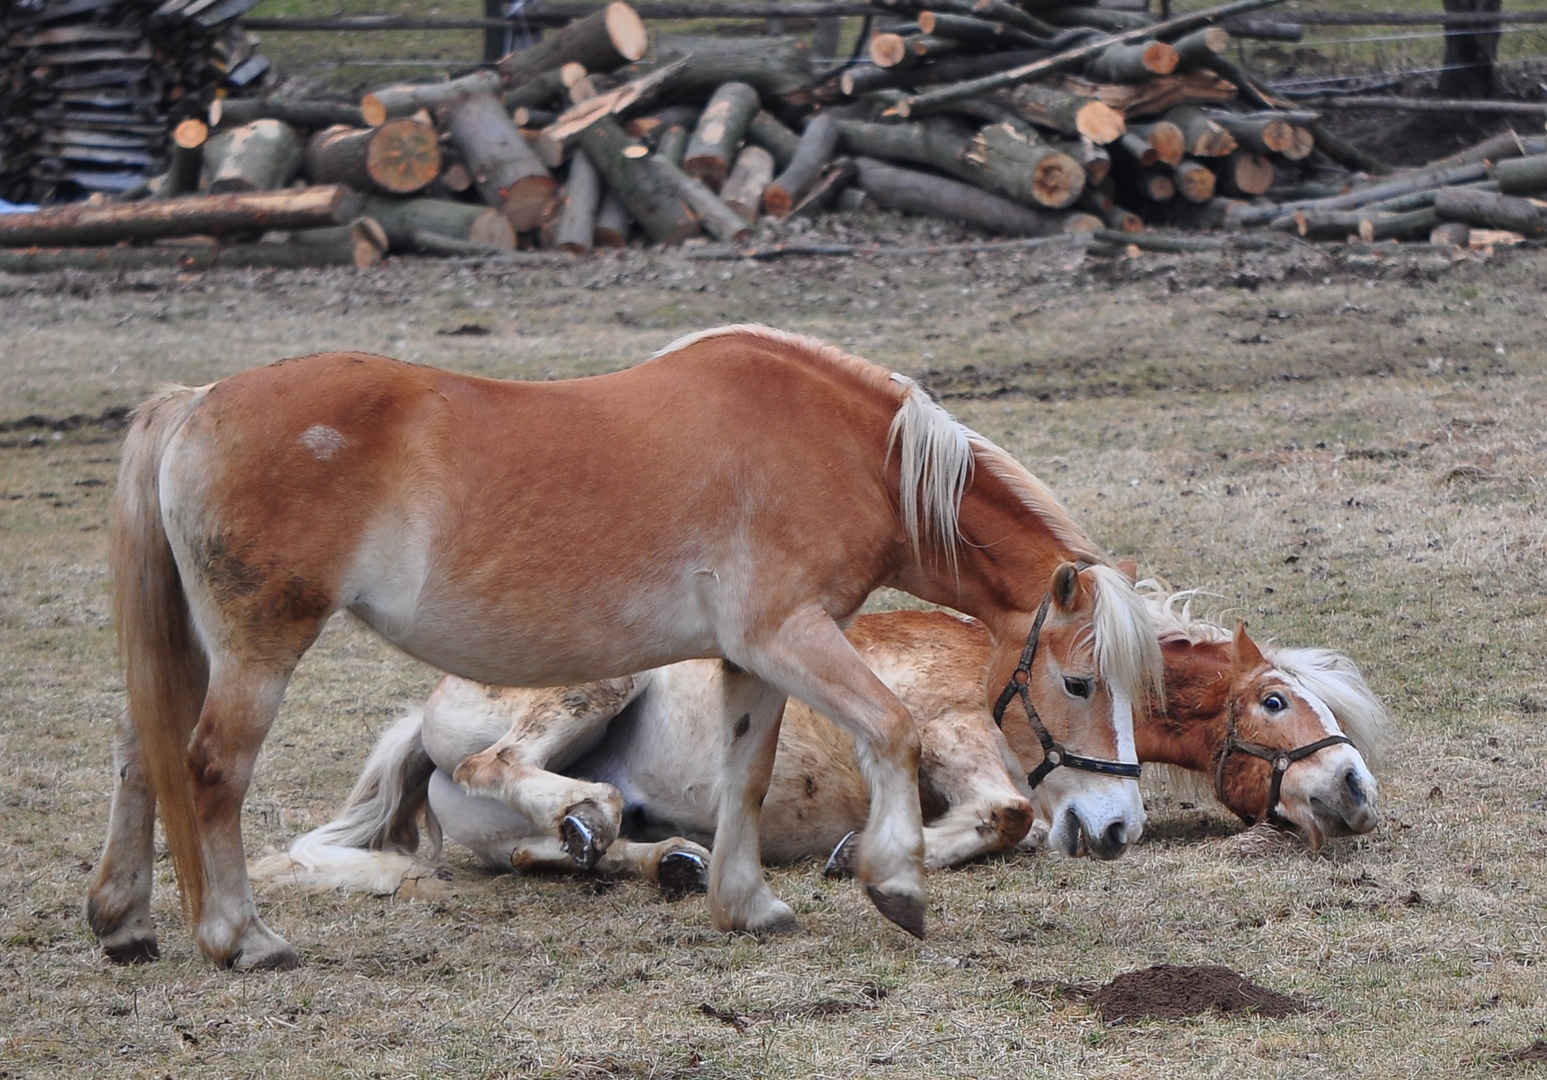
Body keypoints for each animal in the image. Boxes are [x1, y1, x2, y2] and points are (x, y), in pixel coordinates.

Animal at [90, 323, 1163, 965]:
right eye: (1077, 682)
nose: (1117, 829)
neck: (839, 452)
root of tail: (195, 402)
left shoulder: (753, 658)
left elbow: (746, 776)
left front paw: (746, 905)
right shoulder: (791, 636)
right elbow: (891, 731)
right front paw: (893, 881)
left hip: (198, 649)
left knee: (147, 758)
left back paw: (124, 921)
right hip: (261, 651)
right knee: (211, 769)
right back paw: (241, 937)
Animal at [256, 587, 1392, 891]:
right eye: (1276, 700)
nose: (1354, 790)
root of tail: (422, 715)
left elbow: (1026, 821)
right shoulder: (939, 733)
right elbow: (1009, 811)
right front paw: (863, 855)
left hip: (508, 827)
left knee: (549, 854)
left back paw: (662, 858)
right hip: (586, 688)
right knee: (515, 772)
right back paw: (594, 812)